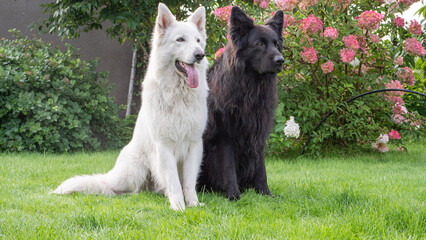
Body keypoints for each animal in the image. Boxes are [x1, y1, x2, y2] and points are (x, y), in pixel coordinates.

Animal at [52, 3, 209, 210]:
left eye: (198, 40)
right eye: (180, 40)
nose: (200, 55)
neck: (179, 94)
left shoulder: (194, 145)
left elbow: (189, 182)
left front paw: (193, 204)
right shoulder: (164, 146)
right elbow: (174, 181)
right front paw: (178, 206)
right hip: (134, 170)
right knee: (110, 186)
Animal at [198, 7, 284, 201]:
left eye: (276, 44)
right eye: (259, 44)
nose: (280, 61)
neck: (250, 88)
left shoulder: (258, 133)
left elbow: (261, 168)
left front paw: (265, 193)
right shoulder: (225, 135)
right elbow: (229, 167)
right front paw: (233, 195)